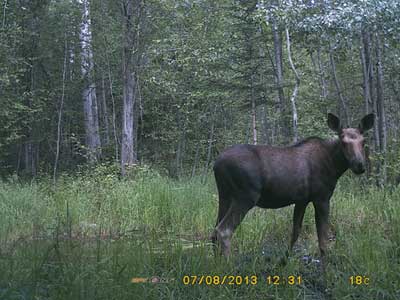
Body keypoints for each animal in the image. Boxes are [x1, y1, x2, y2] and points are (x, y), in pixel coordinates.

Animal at [212, 112, 376, 262]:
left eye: (363, 141)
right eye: (343, 142)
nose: (360, 165)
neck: (334, 167)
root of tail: (216, 163)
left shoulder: (301, 200)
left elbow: (295, 232)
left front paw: (283, 261)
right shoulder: (321, 197)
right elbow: (323, 239)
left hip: (225, 195)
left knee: (214, 231)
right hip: (245, 197)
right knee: (224, 230)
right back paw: (228, 264)